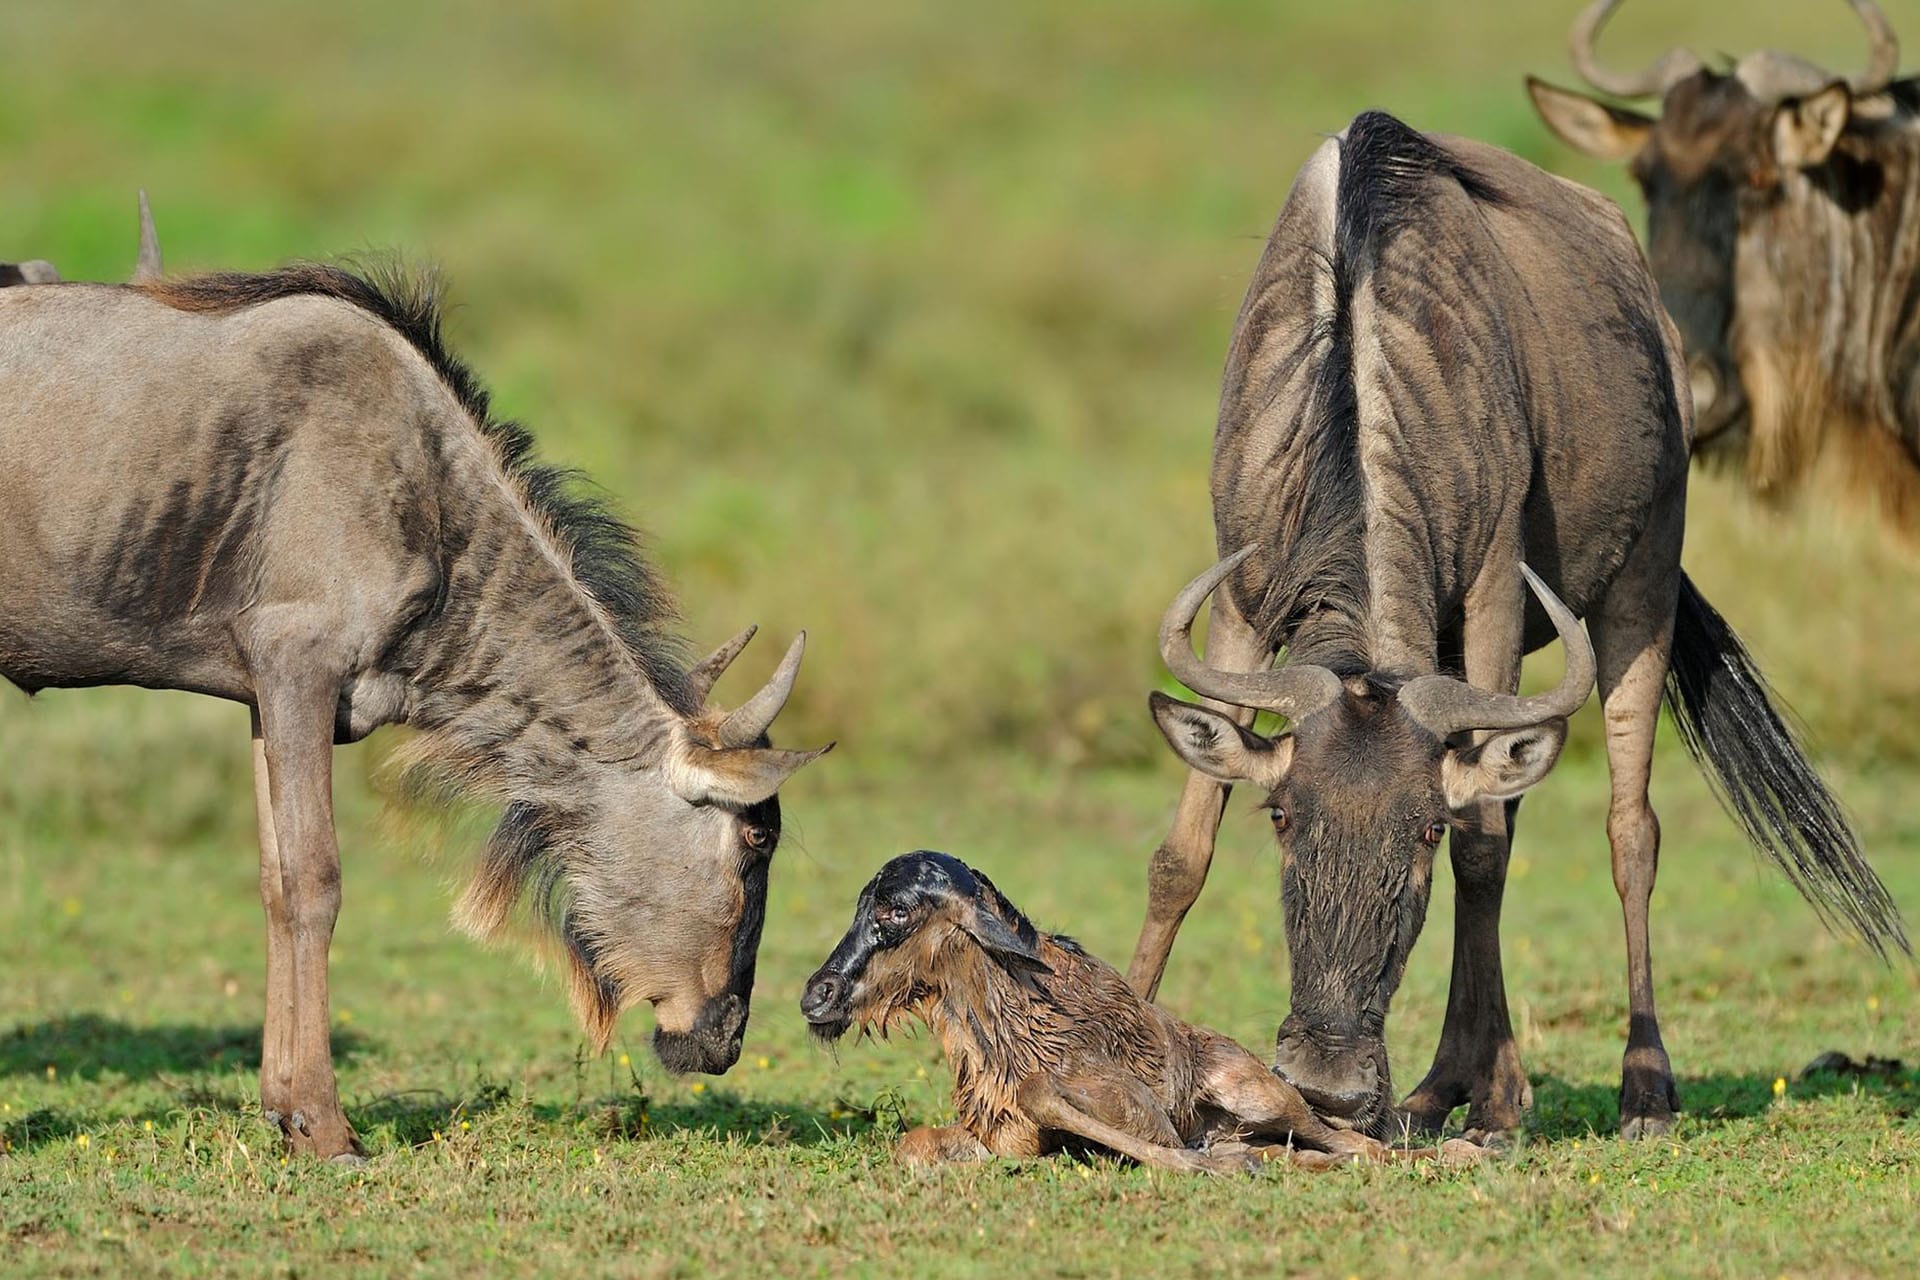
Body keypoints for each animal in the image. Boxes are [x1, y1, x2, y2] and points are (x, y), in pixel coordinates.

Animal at [802, 852, 1474, 1174]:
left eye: (896, 912)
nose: (817, 996)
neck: (1013, 1018)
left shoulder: (1144, 1117)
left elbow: (1073, 1106)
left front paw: (1221, 1167)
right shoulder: (1002, 1137)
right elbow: (913, 1145)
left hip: (1262, 1095)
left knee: (1355, 1142)